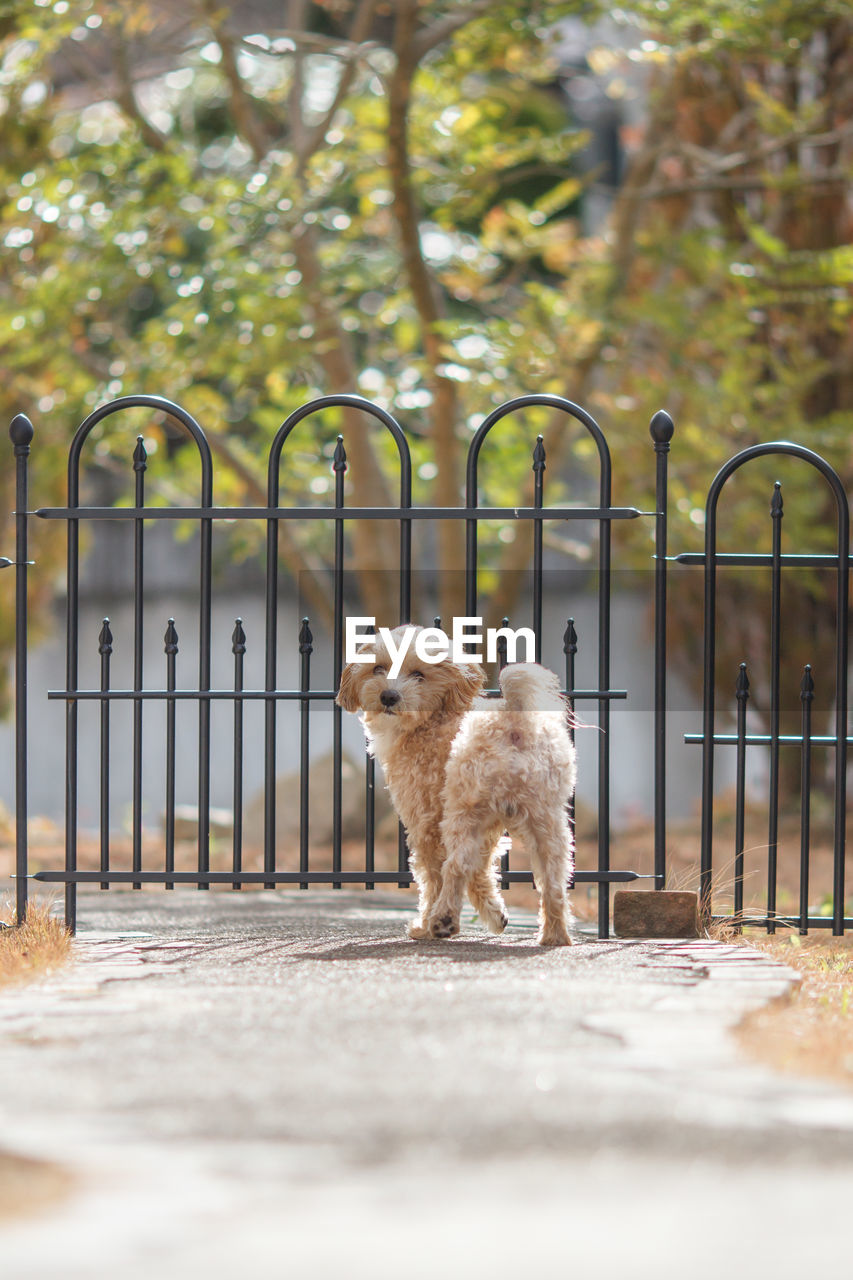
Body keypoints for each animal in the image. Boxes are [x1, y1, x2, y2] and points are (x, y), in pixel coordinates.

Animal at [335, 627, 573, 942]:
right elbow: (480, 871)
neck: (430, 721)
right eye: (378, 668)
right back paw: (555, 935)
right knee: (553, 880)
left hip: (461, 813)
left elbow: (434, 876)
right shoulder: (489, 828)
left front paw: (426, 925)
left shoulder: (425, 822)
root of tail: (513, 721)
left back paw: (442, 919)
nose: (389, 696)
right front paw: (495, 914)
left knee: (456, 864)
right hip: (546, 819)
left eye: (418, 674)